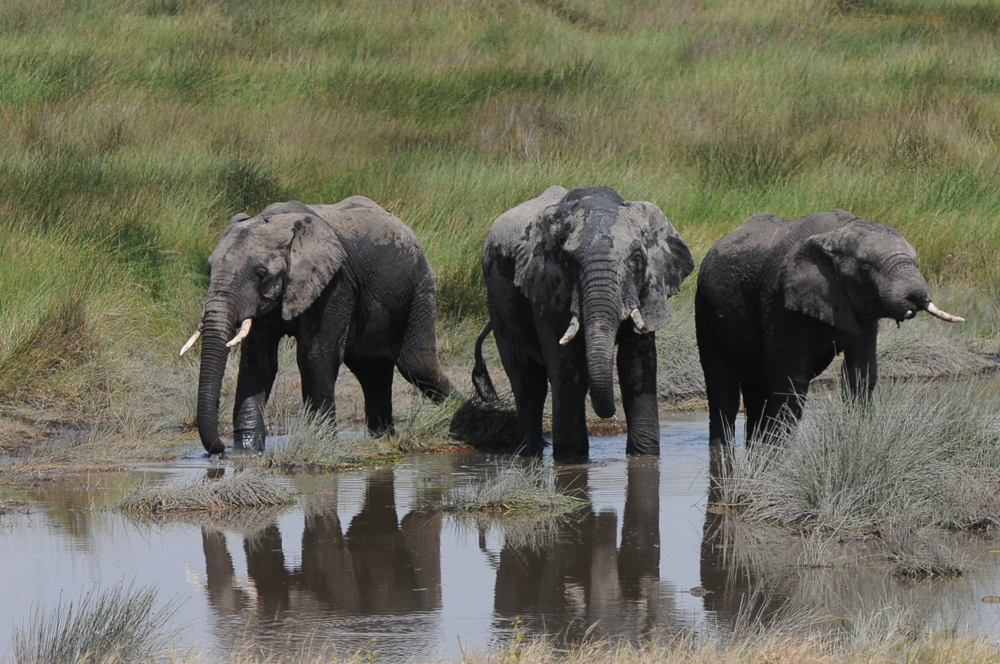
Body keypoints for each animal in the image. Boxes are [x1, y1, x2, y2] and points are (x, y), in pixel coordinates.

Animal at [182, 198, 456, 456]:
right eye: (209, 268)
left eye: (261, 273)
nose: (220, 448)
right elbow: (258, 362)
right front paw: (247, 451)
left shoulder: (336, 283)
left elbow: (315, 356)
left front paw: (321, 442)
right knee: (371, 370)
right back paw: (384, 438)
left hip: (420, 285)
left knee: (417, 366)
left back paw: (459, 415)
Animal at [474, 183, 696, 462]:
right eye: (567, 262)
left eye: (637, 259)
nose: (611, 417)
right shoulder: (547, 289)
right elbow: (568, 371)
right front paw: (571, 461)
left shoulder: (648, 290)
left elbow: (636, 368)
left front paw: (644, 458)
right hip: (497, 304)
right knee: (526, 381)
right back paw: (530, 453)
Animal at [696, 209, 960, 446]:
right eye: (866, 270)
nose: (915, 299)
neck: (834, 235)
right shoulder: (779, 301)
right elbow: (790, 380)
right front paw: (777, 455)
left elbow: (860, 374)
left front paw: (858, 437)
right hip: (705, 308)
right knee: (723, 390)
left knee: (754, 391)